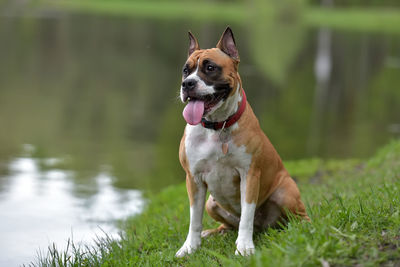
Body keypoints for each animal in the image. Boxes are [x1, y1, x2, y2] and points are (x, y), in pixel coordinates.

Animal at [176, 26, 310, 258]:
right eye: (186, 70)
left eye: (210, 67)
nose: (187, 84)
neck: (217, 126)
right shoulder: (193, 179)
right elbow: (194, 220)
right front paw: (190, 247)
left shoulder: (250, 175)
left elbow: (247, 215)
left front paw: (245, 246)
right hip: (211, 203)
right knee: (228, 225)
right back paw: (214, 232)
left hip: (285, 193)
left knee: (298, 216)